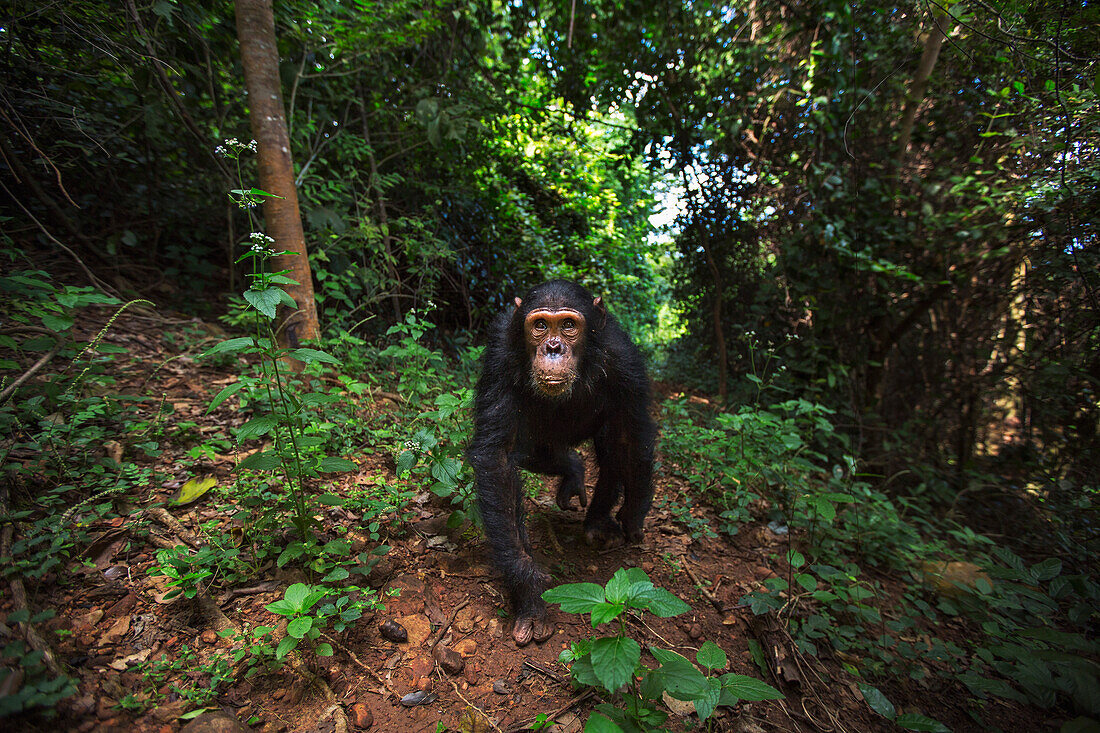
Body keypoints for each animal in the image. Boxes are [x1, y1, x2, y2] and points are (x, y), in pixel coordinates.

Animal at [468, 277, 655, 642]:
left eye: (568, 325)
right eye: (540, 325)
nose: (553, 347)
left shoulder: (623, 358)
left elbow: (631, 435)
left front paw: (633, 515)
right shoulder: (499, 354)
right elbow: (498, 457)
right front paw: (529, 589)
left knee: (612, 444)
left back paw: (598, 521)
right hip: (543, 442)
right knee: (535, 454)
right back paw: (573, 470)